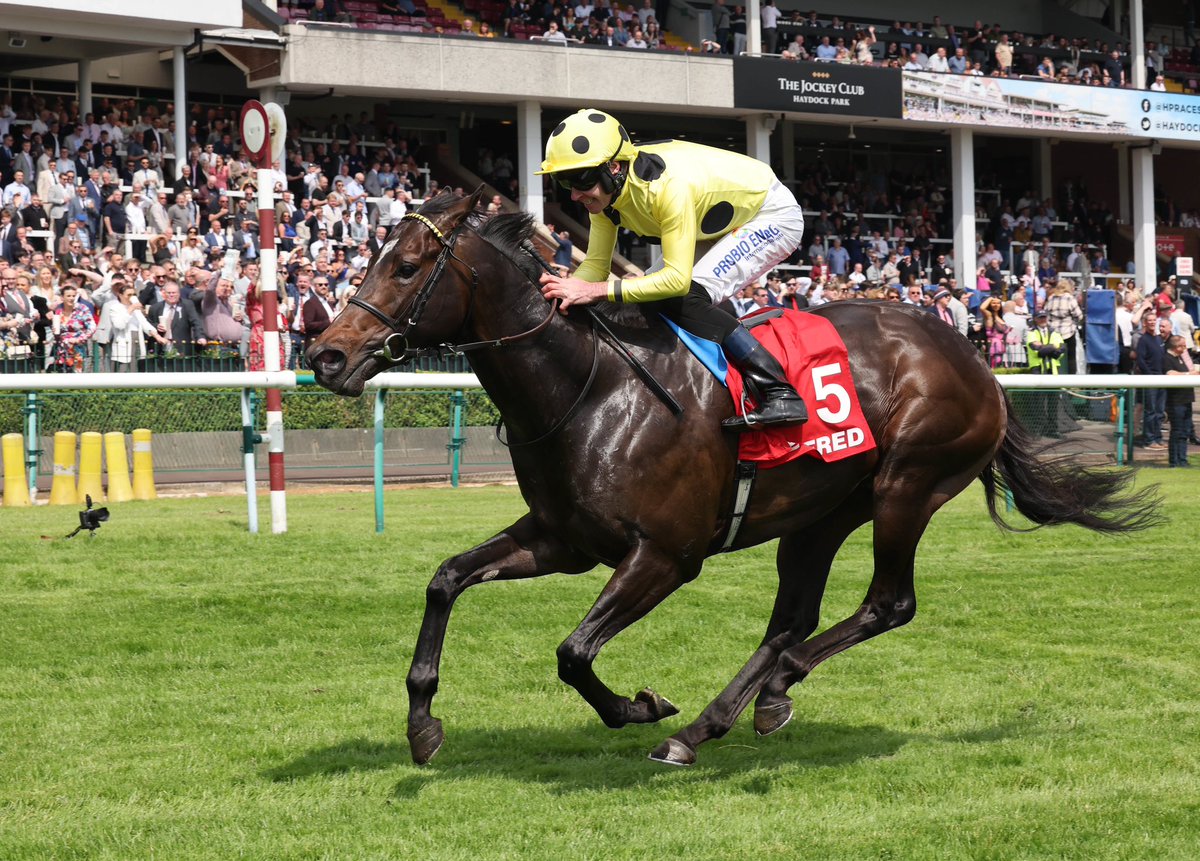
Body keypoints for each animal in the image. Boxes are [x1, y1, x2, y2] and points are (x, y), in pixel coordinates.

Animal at [309, 189, 1161, 767]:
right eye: (372, 258)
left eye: (407, 267)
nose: (326, 355)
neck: (588, 387)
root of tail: (976, 359)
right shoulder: (562, 538)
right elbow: (446, 579)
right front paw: (422, 722)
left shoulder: (665, 555)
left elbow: (574, 651)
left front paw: (640, 705)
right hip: (822, 511)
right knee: (791, 618)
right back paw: (712, 723)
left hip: (907, 485)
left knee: (883, 605)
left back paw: (765, 692)